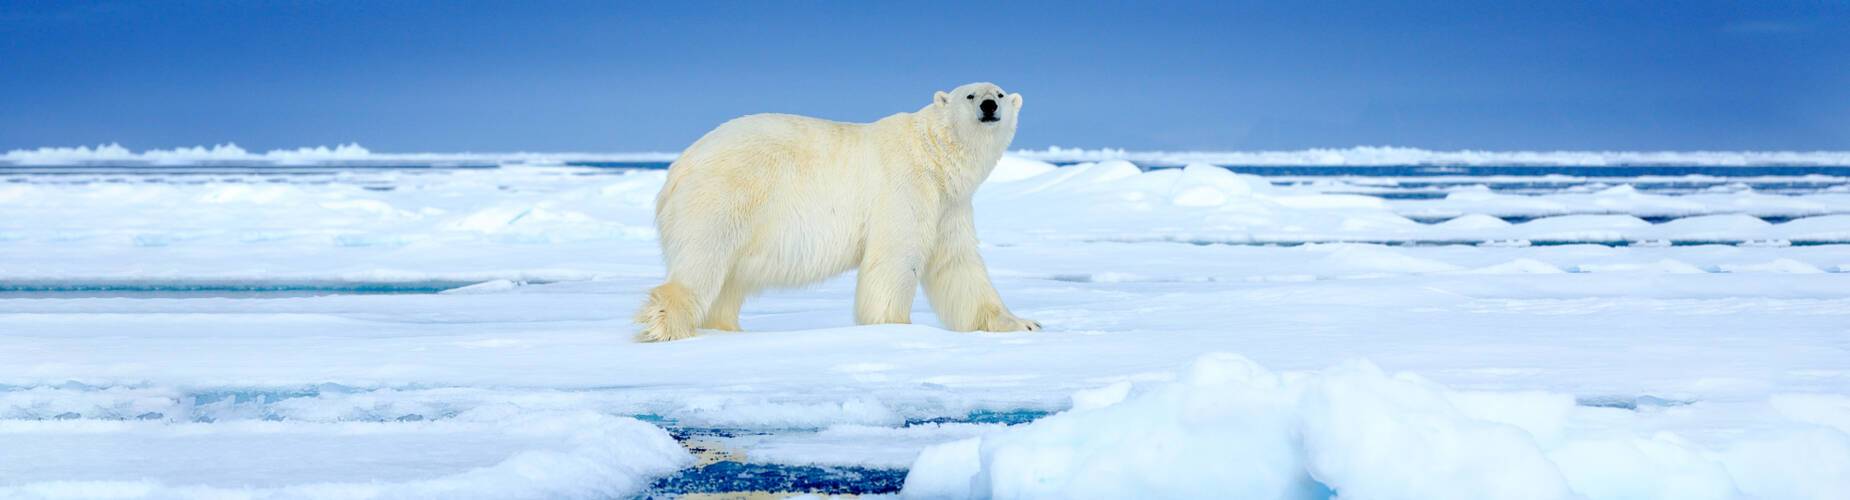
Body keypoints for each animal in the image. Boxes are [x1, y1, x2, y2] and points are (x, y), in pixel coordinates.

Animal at [634, 82, 1040, 342]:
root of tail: (678, 167)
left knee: (727, 283)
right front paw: (894, 326)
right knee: (703, 260)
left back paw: (725, 328)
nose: (989, 107)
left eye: (999, 93)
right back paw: (668, 326)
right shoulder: (905, 187)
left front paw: (1023, 324)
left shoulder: (949, 205)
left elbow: (957, 265)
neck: (934, 155)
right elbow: (896, 256)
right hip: (724, 195)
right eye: (970, 94)